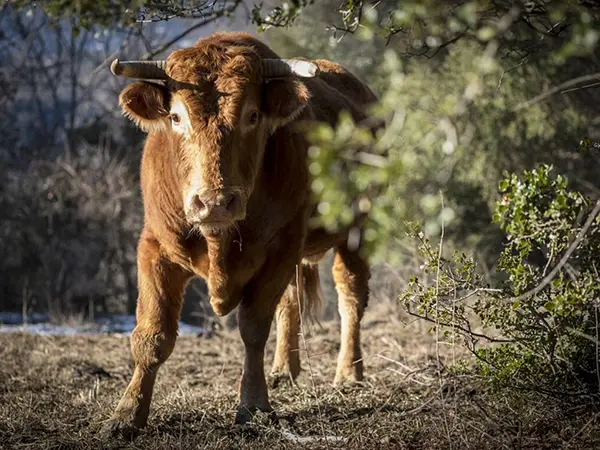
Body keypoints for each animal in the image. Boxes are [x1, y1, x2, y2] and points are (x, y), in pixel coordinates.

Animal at [103, 32, 376, 436]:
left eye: (253, 116)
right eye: (175, 116)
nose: (215, 202)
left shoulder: (279, 250)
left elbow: (253, 329)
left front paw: (253, 405)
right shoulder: (155, 247)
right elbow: (153, 334)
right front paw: (127, 413)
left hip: (358, 228)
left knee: (350, 296)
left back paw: (348, 373)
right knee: (291, 301)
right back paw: (284, 370)